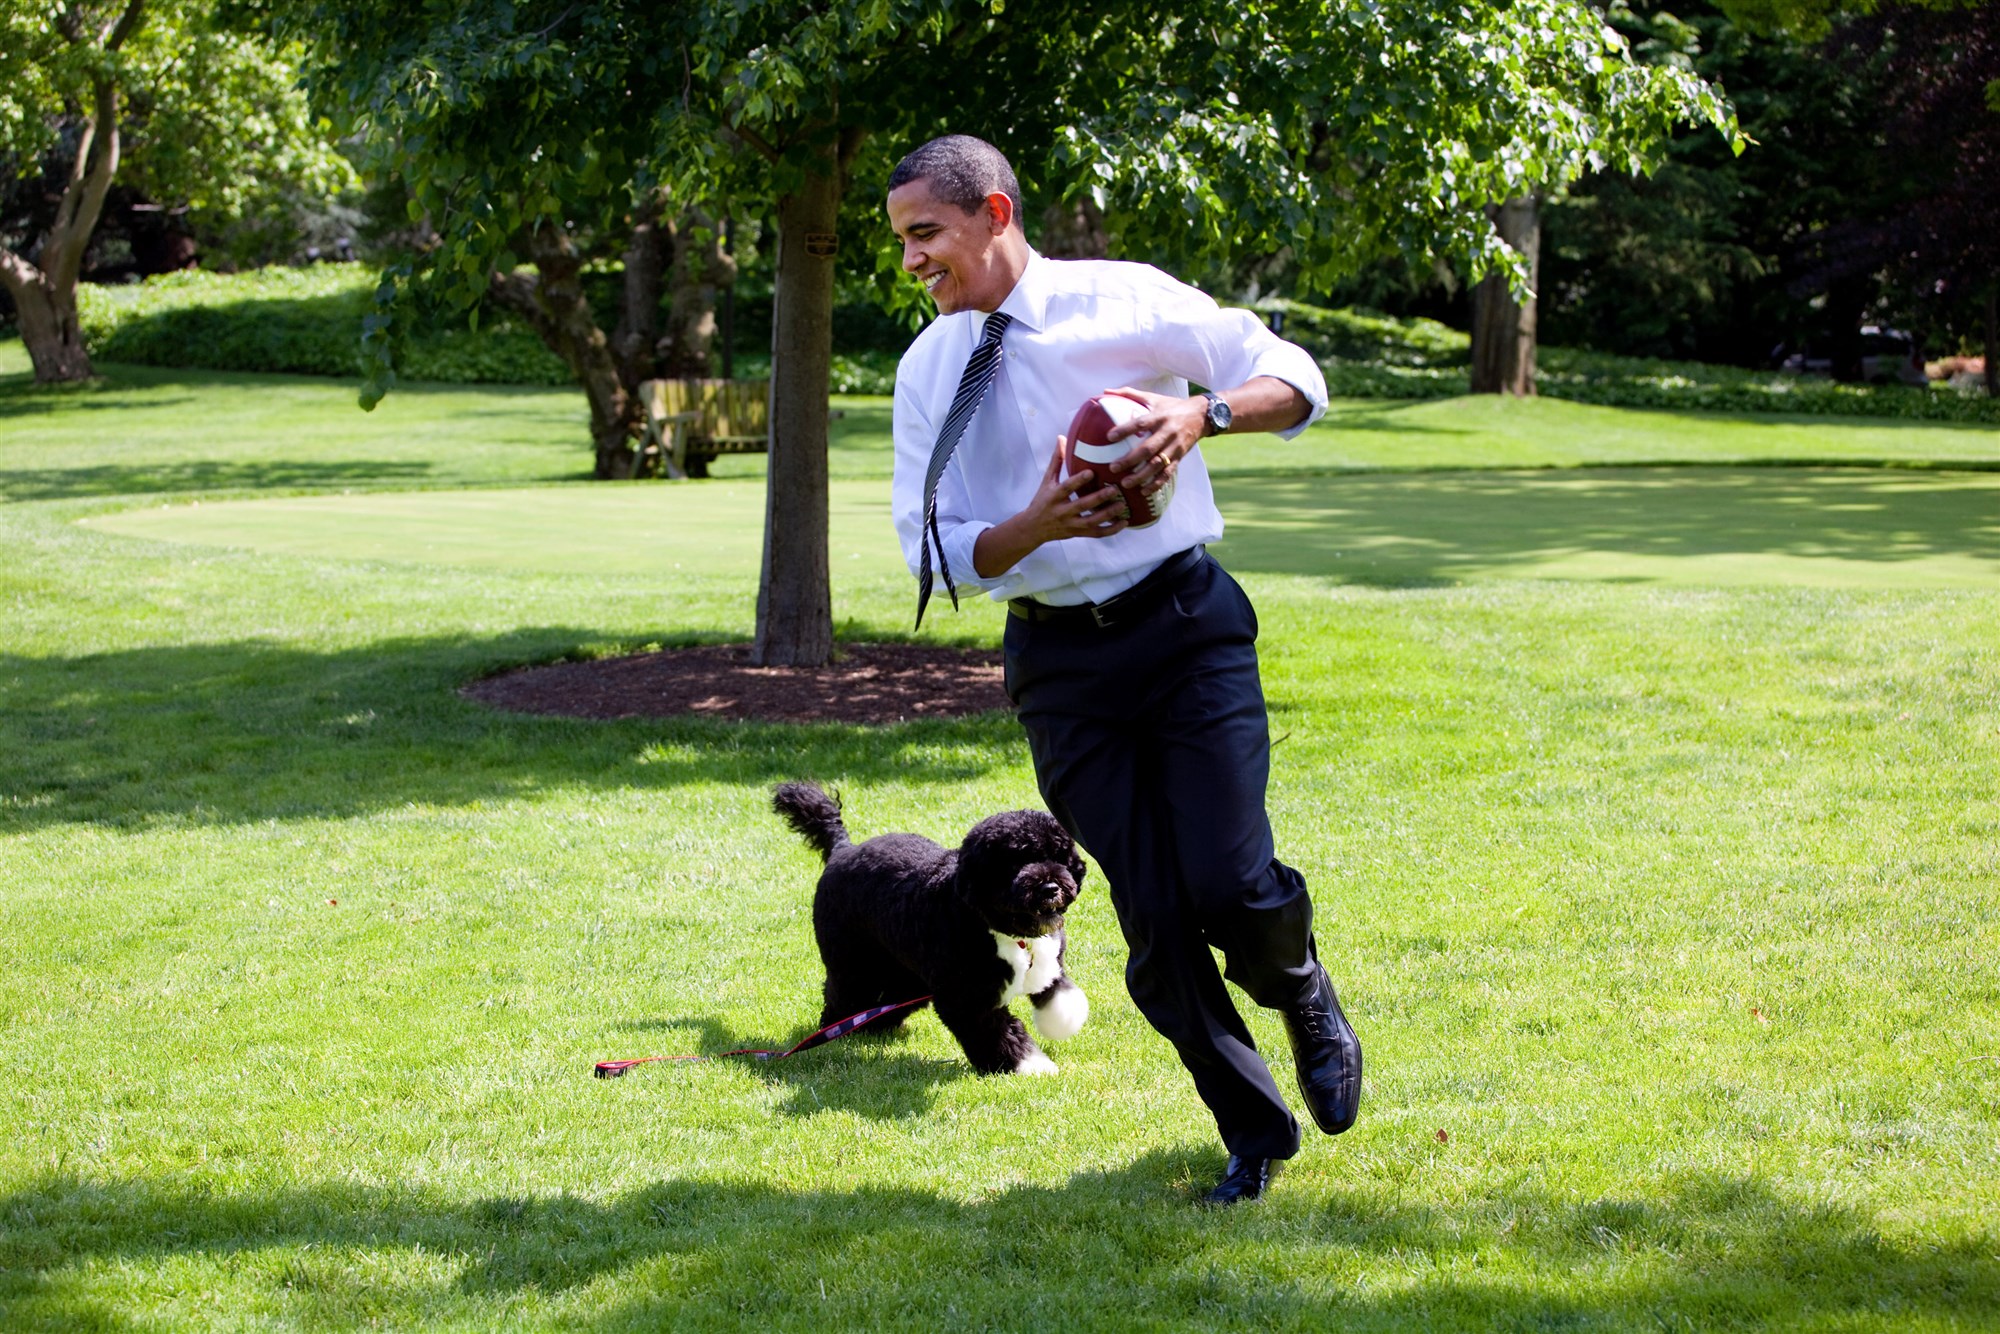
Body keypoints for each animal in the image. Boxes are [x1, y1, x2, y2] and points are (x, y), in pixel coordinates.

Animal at [772, 784, 1096, 1072]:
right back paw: (837, 1029)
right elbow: (999, 1033)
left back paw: (876, 1026)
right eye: (1014, 863)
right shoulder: (964, 996)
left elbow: (1057, 993)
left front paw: (1063, 1021)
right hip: (852, 961)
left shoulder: (1049, 960)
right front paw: (1029, 1066)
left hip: (905, 971)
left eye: (1057, 856)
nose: (1050, 887)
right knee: (844, 994)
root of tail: (842, 849)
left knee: (888, 998)